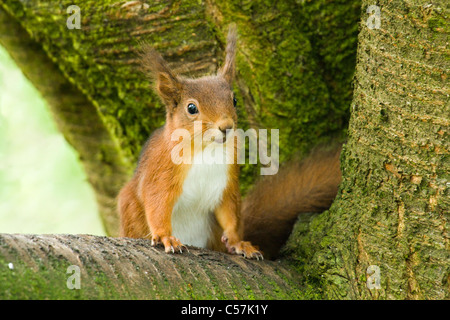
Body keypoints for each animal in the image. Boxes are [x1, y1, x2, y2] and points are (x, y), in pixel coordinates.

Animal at [117, 25, 342, 260]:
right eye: (191, 108)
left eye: (234, 100)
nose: (226, 126)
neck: (205, 149)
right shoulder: (159, 173)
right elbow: (156, 204)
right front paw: (164, 237)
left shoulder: (227, 182)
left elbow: (230, 212)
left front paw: (238, 242)